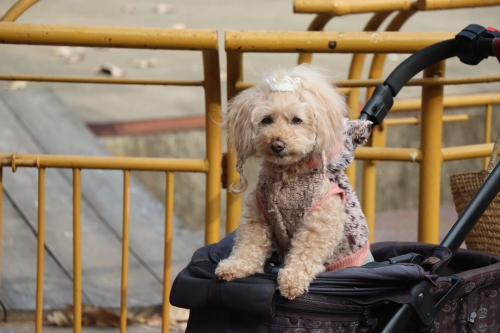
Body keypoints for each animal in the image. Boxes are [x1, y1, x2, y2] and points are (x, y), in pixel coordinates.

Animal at [217, 64, 374, 298]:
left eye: (296, 120)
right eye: (266, 120)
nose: (277, 144)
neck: (287, 175)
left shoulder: (319, 221)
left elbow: (306, 252)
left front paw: (292, 281)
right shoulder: (259, 214)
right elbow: (249, 244)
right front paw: (235, 266)